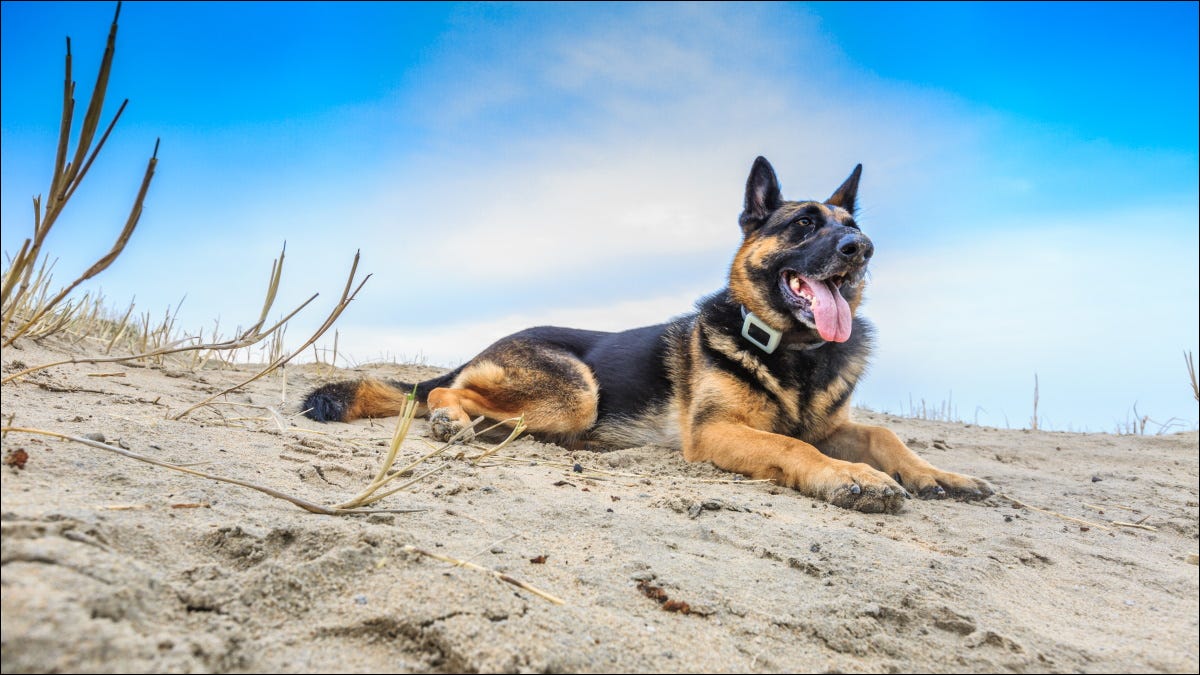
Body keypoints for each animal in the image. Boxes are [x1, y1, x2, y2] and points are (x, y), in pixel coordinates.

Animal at [302, 157, 993, 511]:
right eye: (803, 224)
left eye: (851, 225)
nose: (862, 248)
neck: (796, 353)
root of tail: (484, 347)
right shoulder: (718, 433)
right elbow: (794, 448)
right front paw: (851, 478)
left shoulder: (832, 425)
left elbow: (883, 434)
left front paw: (937, 474)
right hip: (575, 393)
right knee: (442, 395)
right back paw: (451, 419)